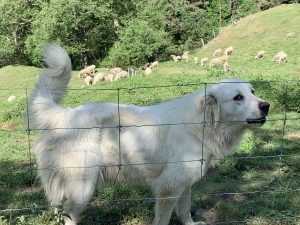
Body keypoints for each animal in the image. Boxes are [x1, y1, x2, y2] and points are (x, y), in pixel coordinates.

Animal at [29, 44, 270, 225]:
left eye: (253, 92)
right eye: (238, 97)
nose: (266, 106)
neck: (200, 124)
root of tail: (65, 114)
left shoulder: (183, 183)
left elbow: (185, 210)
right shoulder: (168, 188)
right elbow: (164, 218)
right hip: (82, 187)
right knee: (69, 217)